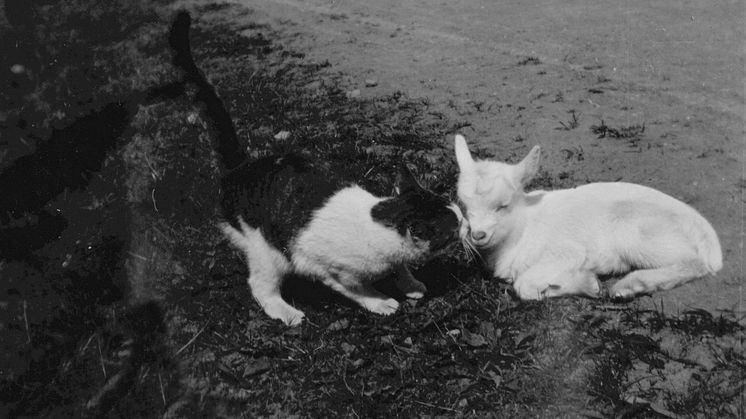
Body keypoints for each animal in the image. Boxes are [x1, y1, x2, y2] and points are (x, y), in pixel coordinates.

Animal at [169, 10, 460, 324]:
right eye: (454, 227)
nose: (466, 224)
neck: (377, 220)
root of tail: (241, 168)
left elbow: (401, 267)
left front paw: (411, 284)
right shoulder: (329, 269)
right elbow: (360, 290)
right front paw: (382, 302)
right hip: (267, 250)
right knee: (260, 286)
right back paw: (288, 313)